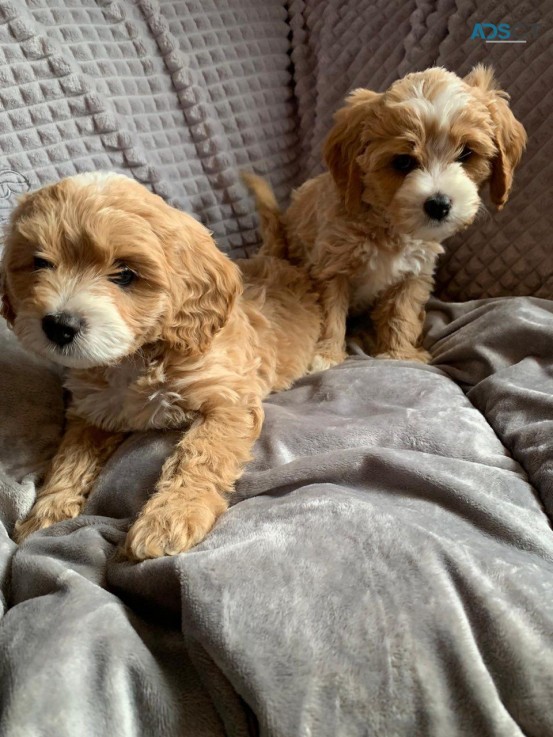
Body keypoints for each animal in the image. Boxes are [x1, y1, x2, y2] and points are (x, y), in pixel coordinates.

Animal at [1, 172, 320, 560]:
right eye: (39, 262)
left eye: (124, 275)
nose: (59, 325)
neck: (135, 358)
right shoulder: (91, 412)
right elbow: (69, 461)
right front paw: (46, 513)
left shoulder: (228, 400)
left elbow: (202, 452)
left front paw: (170, 517)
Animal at [246, 66, 528, 368]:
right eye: (402, 162)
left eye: (466, 153)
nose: (438, 204)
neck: (388, 224)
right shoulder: (329, 267)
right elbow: (329, 312)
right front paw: (326, 355)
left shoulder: (413, 275)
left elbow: (401, 314)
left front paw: (399, 354)